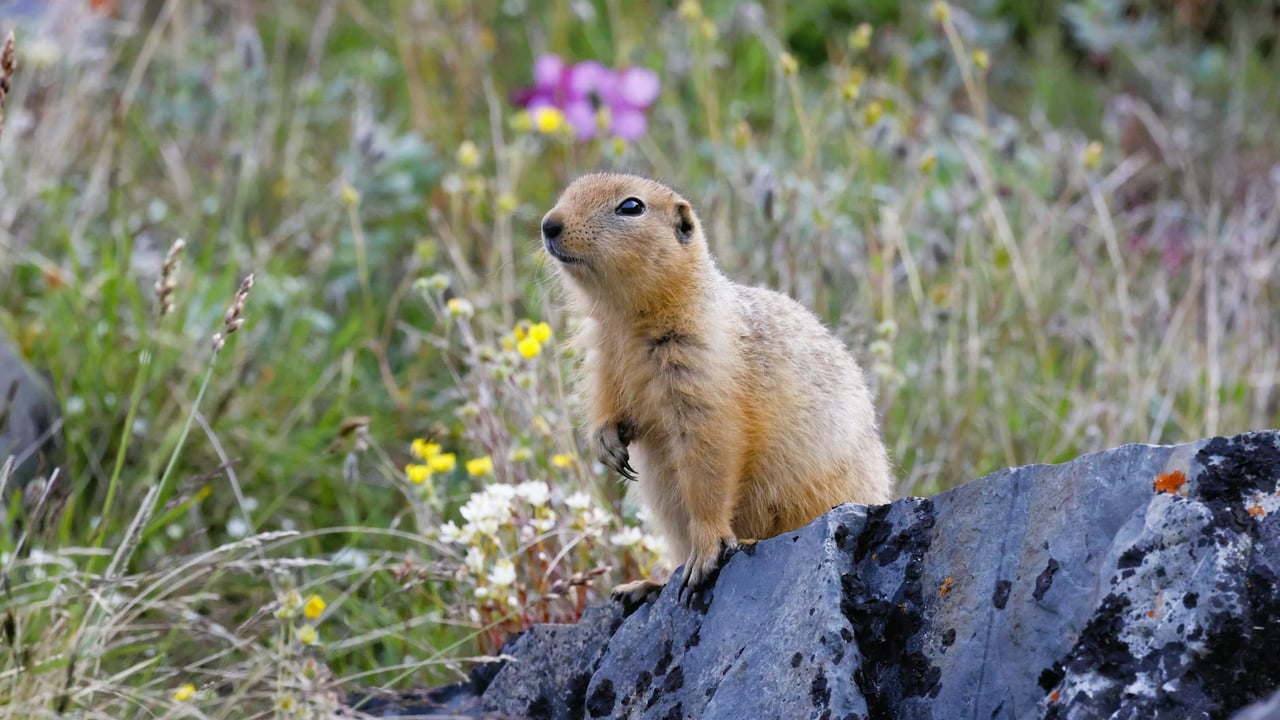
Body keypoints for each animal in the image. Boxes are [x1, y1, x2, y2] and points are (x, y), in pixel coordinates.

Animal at [540, 173, 893, 605]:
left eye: (631, 206)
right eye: (567, 192)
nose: (549, 224)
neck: (624, 321)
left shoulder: (702, 371)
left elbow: (710, 458)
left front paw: (706, 555)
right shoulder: (602, 359)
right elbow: (607, 401)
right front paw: (606, 442)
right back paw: (643, 586)